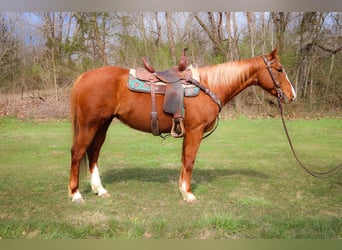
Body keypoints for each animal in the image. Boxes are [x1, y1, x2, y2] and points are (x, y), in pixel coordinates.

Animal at [69, 48, 296, 203]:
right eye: (279, 69)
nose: (292, 95)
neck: (209, 85)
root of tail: (83, 77)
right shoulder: (195, 132)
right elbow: (189, 161)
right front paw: (188, 194)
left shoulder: (188, 133)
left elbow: (184, 160)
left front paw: (182, 189)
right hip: (90, 124)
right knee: (78, 152)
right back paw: (76, 194)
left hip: (102, 124)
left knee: (94, 152)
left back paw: (100, 189)